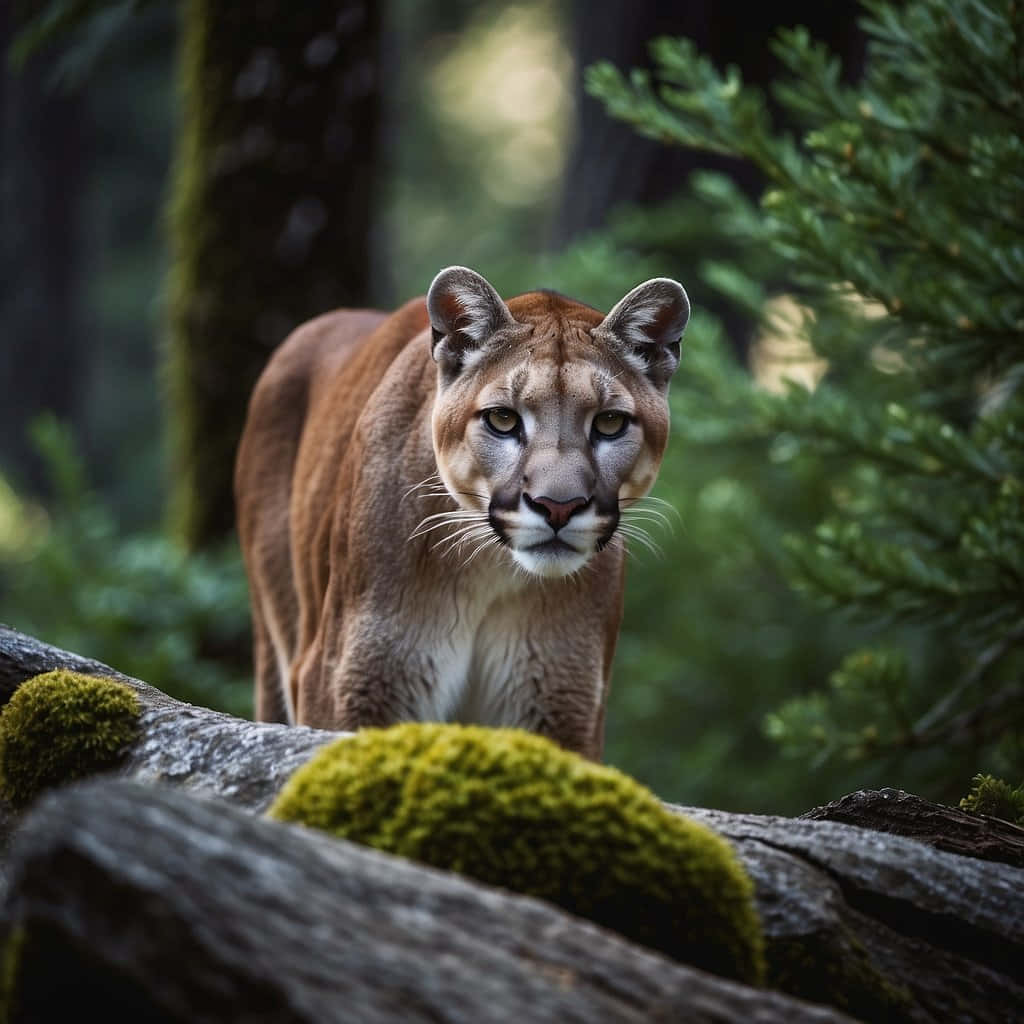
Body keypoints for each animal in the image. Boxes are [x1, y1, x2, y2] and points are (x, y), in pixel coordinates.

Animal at [234, 266, 688, 761]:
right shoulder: (347, 681)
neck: (489, 569)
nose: (558, 506)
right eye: (503, 420)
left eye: (609, 423)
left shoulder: (563, 700)